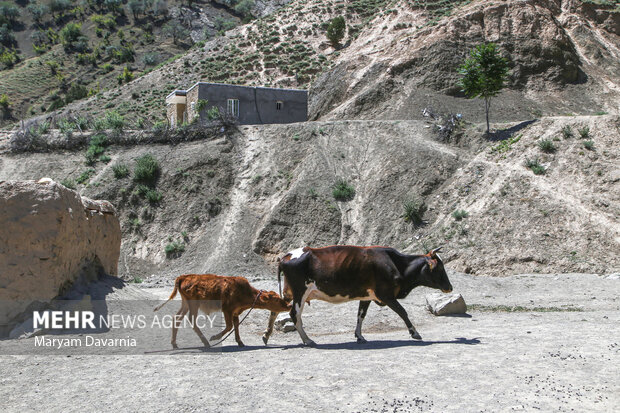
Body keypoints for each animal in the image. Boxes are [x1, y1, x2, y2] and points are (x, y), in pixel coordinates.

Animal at [154, 274, 292, 348]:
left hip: (186, 304)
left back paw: (174, 344)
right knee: (191, 320)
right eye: (276, 299)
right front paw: (215, 337)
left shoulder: (235, 312)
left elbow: (236, 325)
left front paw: (240, 342)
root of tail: (183, 277)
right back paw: (206, 342)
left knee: (176, 318)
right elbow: (229, 326)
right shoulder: (227, 309)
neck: (244, 292)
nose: (289, 305)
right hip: (193, 304)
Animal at [274, 245, 452, 344]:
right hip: (300, 292)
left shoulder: (368, 296)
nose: (450, 287)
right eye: (439, 268)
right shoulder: (386, 295)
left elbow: (361, 315)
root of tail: (286, 256)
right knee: (294, 314)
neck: (396, 265)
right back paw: (307, 340)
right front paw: (414, 333)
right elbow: (403, 312)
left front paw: (359, 336)